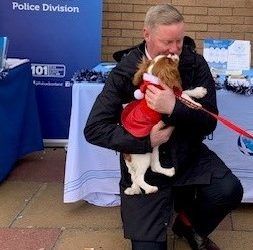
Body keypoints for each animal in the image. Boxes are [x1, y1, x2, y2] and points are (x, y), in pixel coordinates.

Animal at [121, 54, 207, 195]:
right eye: (169, 60)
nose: (173, 54)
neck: (155, 81)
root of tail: (125, 153)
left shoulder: (171, 92)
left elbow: (184, 92)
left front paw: (198, 92)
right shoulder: (171, 95)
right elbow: (183, 96)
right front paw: (196, 105)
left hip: (154, 148)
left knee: (154, 167)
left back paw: (169, 172)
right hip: (144, 155)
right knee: (138, 177)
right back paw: (150, 189)